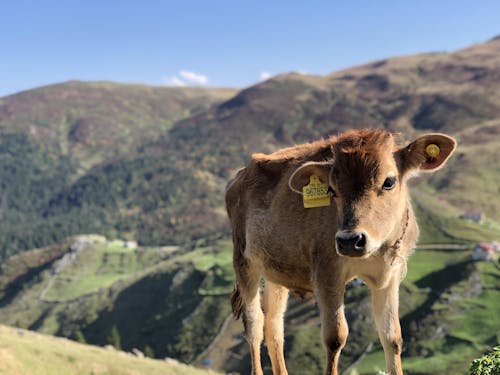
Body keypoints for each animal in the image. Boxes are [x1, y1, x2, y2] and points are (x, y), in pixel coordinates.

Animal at [227, 130, 458, 375]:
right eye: (331, 189)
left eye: (389, 182)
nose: (350, 241)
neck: (377, 250)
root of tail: (240, 175)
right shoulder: (327, 272)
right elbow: (335, 337)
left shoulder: (390, 276)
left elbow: (392, 336)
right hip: (243, 261)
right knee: (254, 324)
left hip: (276, 271)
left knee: (274, 326)